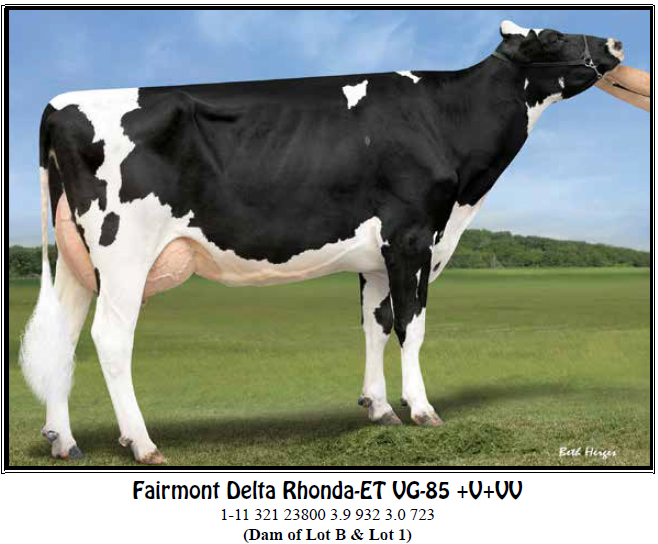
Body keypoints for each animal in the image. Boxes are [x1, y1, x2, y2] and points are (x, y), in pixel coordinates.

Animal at [19, 21, 645, 464]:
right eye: (553, 36)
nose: (616, 39)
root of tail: (60, 104)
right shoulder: (413, 237)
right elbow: (411, 327)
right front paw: (421, 410)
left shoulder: (377, 257)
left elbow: (375, 325)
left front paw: (379, 408)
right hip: (123, 251)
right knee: (109, 339)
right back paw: (142, 442)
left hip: (77, 263)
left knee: (65, 338)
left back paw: (64, 440)